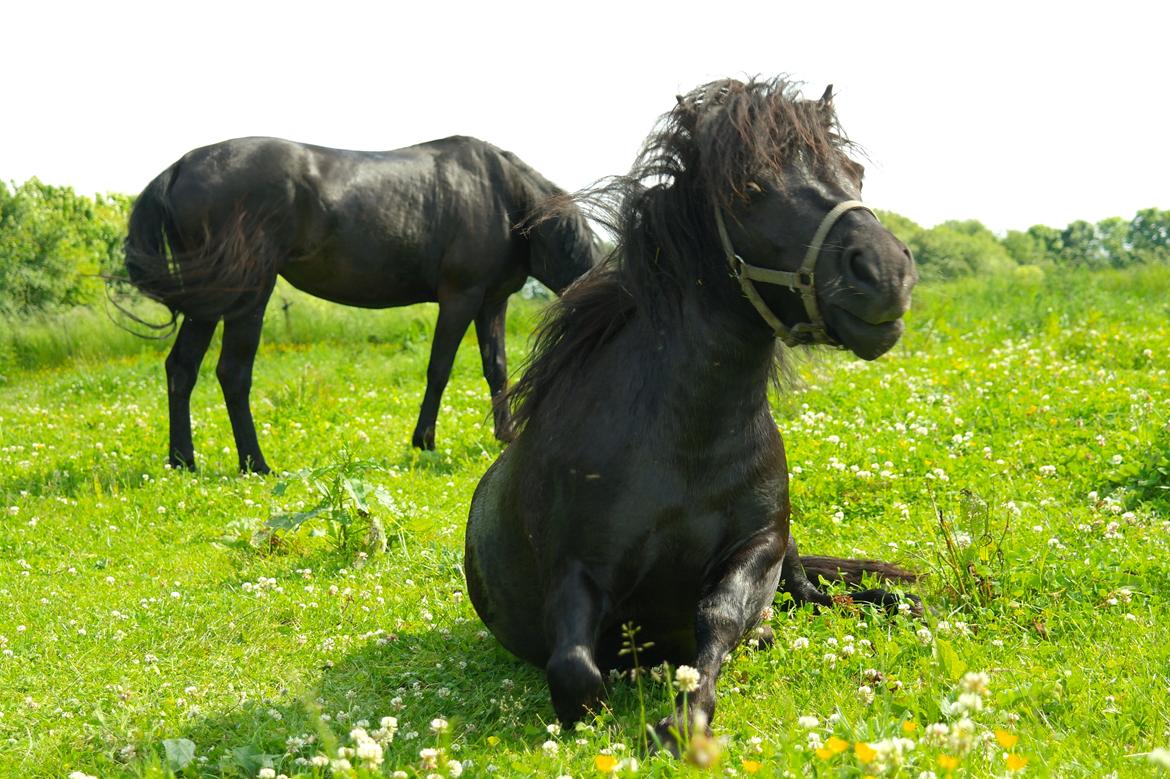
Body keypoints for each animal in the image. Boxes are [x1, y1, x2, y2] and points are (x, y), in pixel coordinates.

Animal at [123, 135, 600, 473]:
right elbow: (440, 368)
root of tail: (180, 167)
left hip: (207, 300)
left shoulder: (492, 302)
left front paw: (505, 433)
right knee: (233, 373)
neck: (504, 196)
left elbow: (496, 369)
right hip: (248, 294)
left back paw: (183, 460)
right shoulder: (460, 298)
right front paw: (424, 439)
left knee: (182, 368)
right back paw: (256, 463)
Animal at [463, 78, 919, 749]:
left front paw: (685, 716)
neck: (688, 445)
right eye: (751, 188)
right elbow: (576, 672)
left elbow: (720, 615)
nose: (885, 273)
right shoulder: (574, 569)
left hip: (792, 561)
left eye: (855, 173)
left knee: (822, 595)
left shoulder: (761, 545)